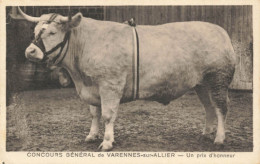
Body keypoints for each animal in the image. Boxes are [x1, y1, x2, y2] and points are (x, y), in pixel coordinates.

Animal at [18, 8, 237, 151]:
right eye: (35, 31)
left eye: (52, 32)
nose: (30, 51)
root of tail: (221, 31)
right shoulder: (92, 86)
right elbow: (94, 113)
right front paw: (91, 135)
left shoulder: (110, 85)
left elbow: (107, 115)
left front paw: (107, 142)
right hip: (201, 84)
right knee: (209, 106)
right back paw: (206, 132)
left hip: (217, 79)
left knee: (221, 107)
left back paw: (219, 138)